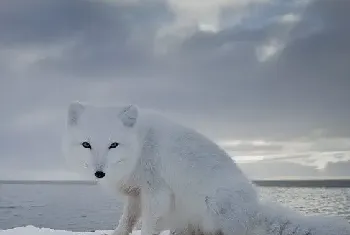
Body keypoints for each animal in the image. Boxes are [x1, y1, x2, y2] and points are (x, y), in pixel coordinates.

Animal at [61, 101, 350, 235]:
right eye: (86, 144)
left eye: (113, 144)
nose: (99, 173)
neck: (140, 147)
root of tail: (254, 208)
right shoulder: (136, 194)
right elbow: (127, 221)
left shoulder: (156, 192)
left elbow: (148, 224)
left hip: (215, 203)